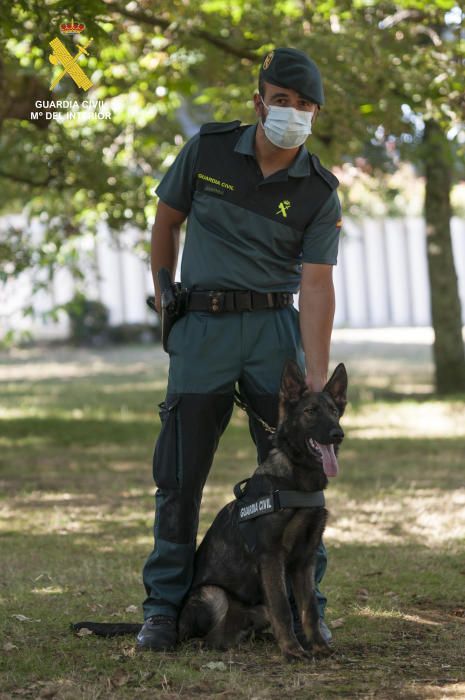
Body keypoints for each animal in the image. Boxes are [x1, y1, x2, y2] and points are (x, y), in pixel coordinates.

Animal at [74, 360, 346, 660]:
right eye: (310, 412)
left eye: (334, 412)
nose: (338, 434)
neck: (297, 479)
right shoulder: (271, 557)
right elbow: (284, 610)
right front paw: (292, 650)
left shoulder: (304, 560)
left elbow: (309, 609)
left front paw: (319, 646)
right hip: (213, 595)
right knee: (200, 636)